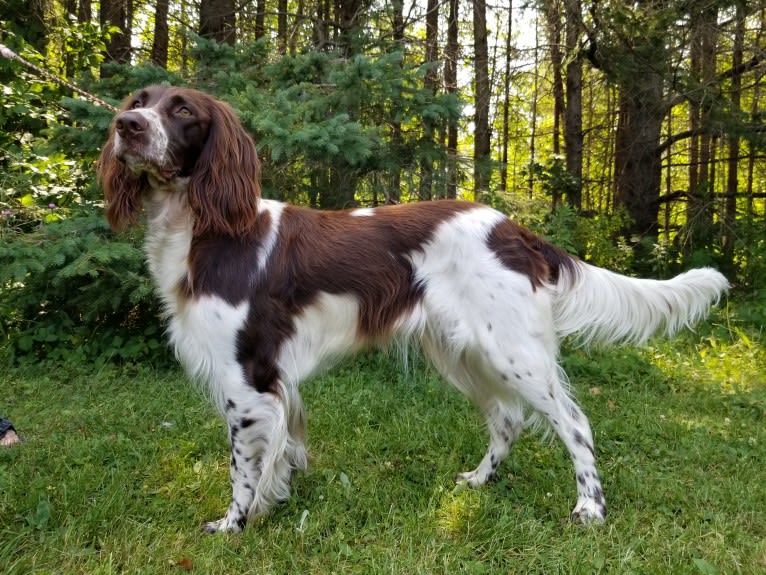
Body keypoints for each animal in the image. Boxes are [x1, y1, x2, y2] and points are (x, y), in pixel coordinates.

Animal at [99, 85, 728, 536]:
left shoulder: (246, 376)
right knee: (507, 420)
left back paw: (590, 509)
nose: (127, 127)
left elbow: (242, 468)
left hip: (512, 352)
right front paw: (279, 502)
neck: (207, 230)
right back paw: (478, 481)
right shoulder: (276, 380)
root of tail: (516, 230)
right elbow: (287, 450)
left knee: (573, 422)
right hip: (461, 352)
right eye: (137, 102)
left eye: (182, 110)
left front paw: (235, 523)